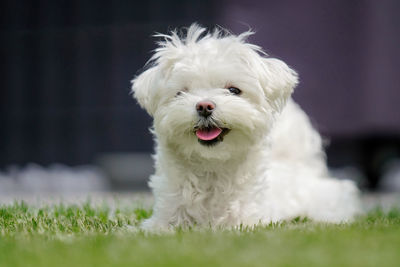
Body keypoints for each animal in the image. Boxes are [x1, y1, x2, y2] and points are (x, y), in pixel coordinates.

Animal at [130, 24, 360, 231]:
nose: (204, 106)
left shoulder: (247, 221)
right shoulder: (164, 219)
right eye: (181, 93)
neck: (212, 167)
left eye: (233, 90)